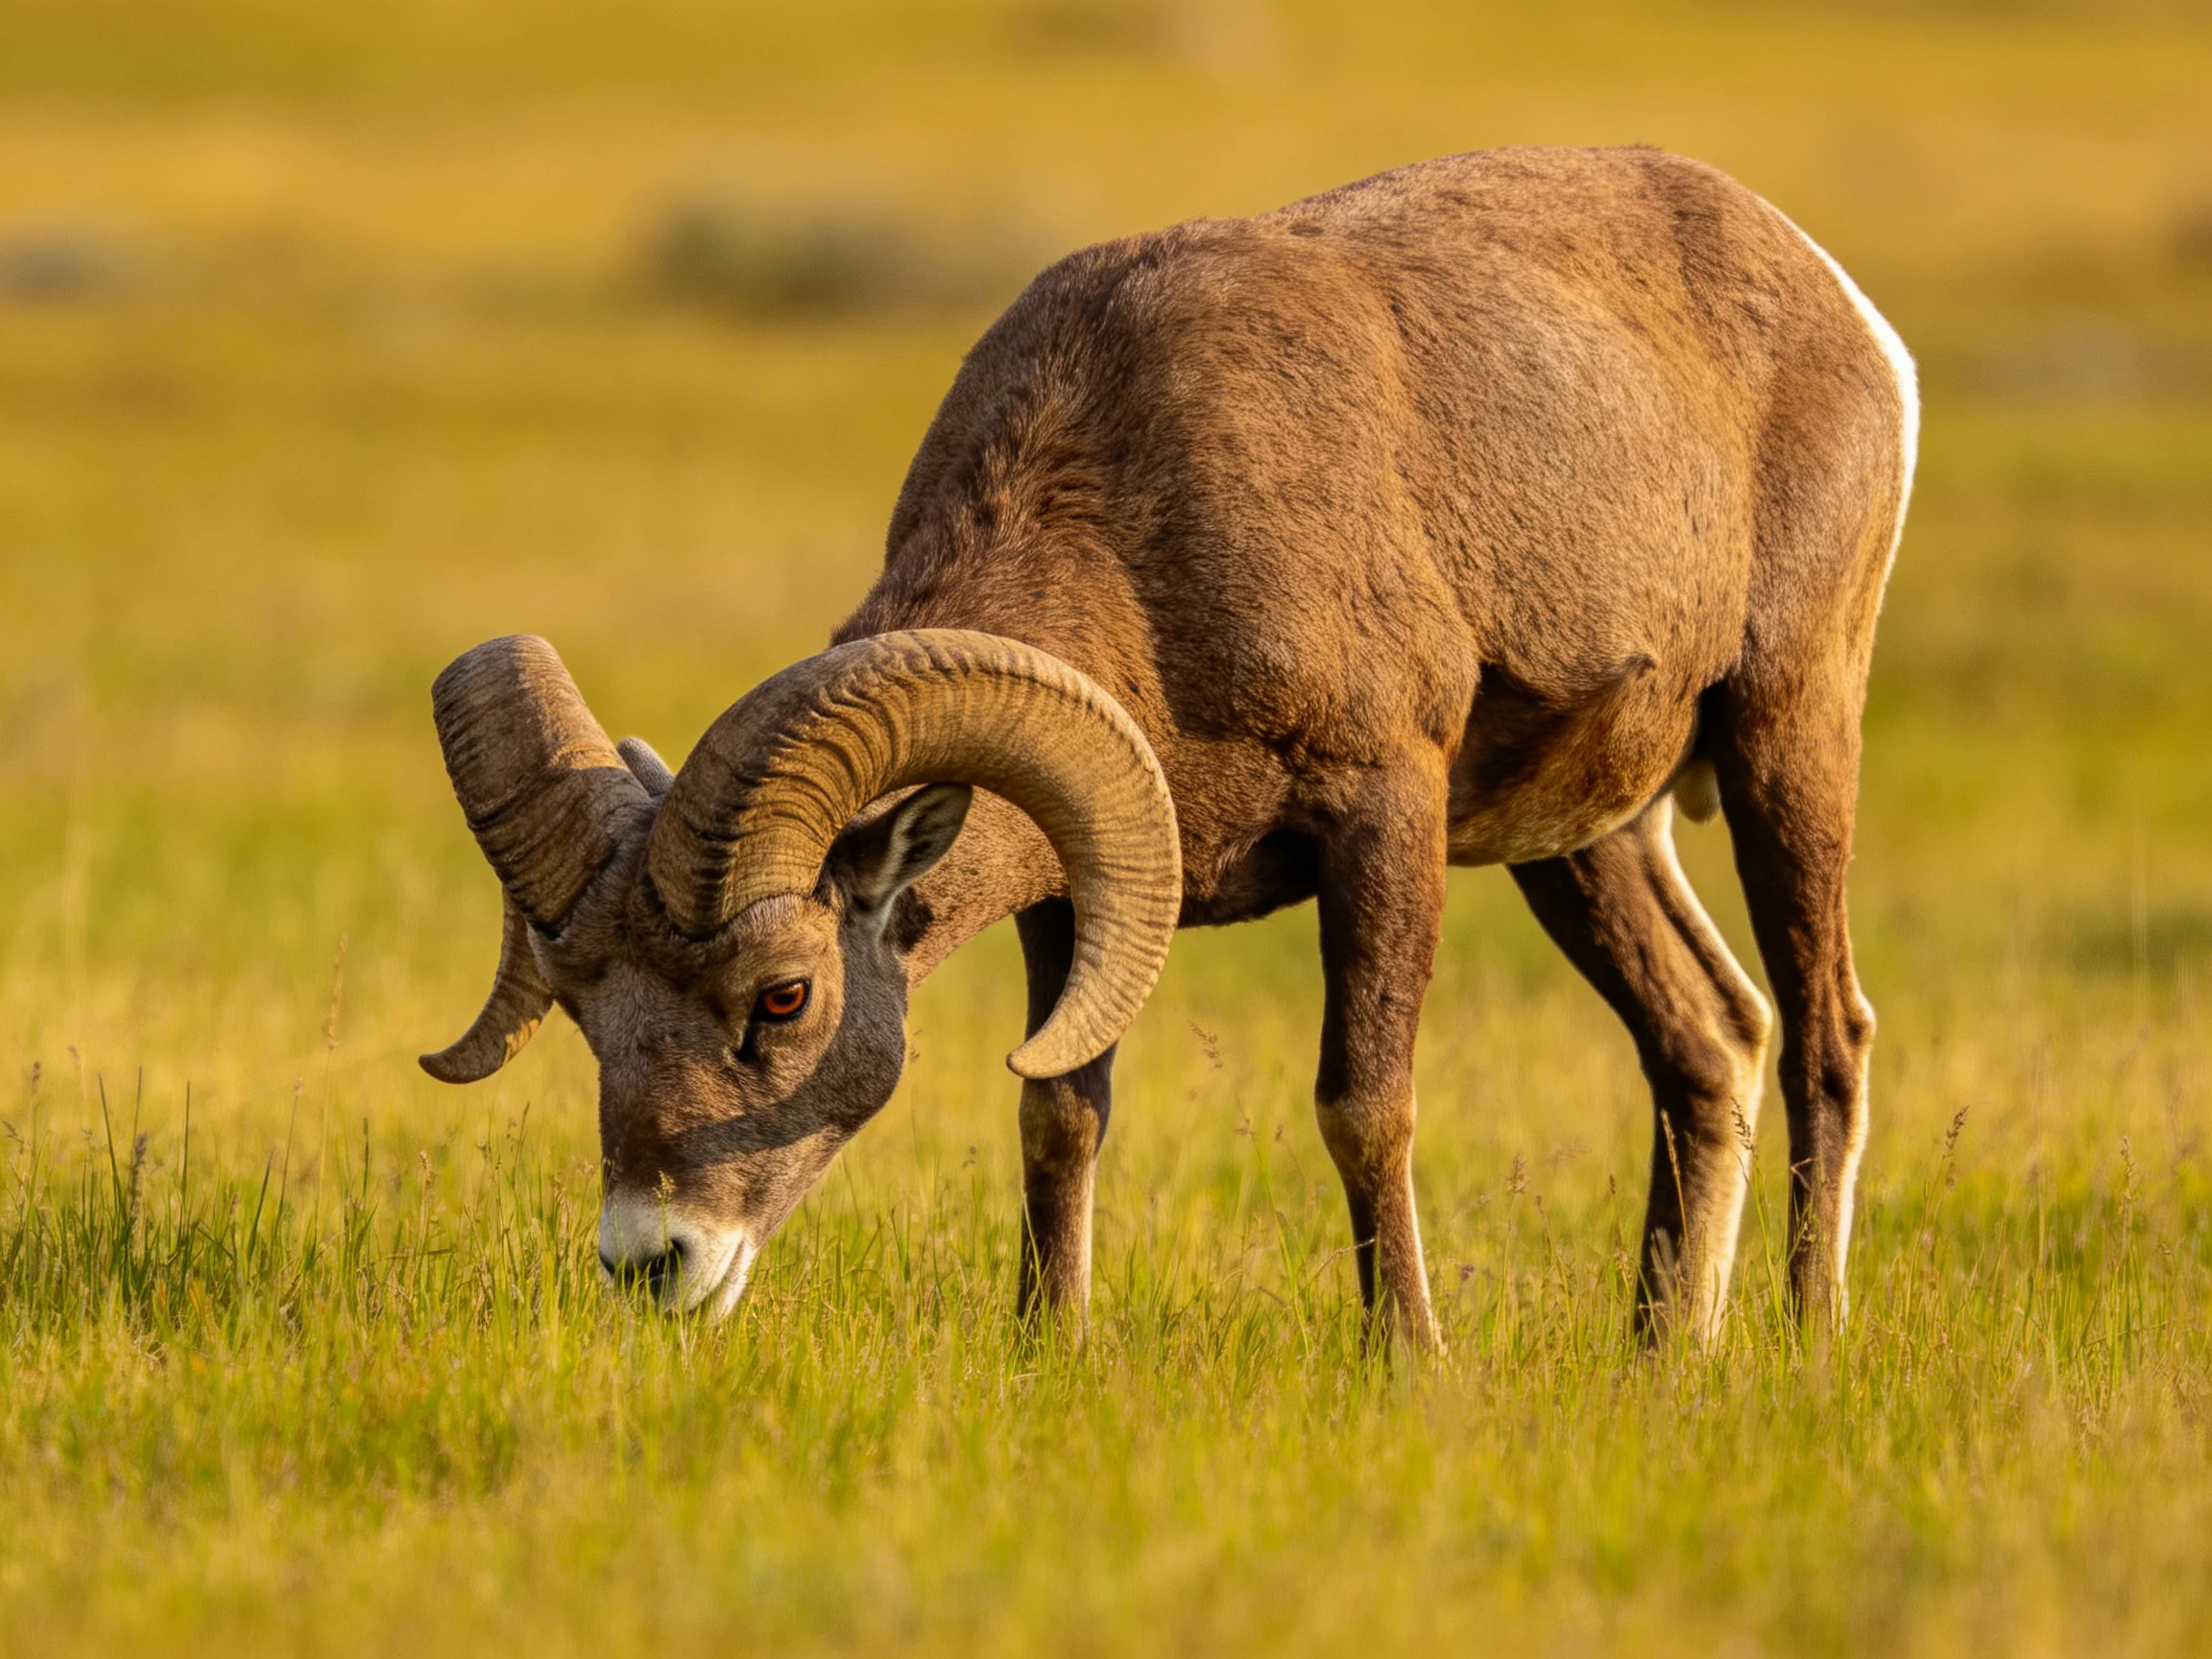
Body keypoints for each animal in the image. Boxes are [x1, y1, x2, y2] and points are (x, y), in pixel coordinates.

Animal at [424, 148, 1915, 1348]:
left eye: (783, 998)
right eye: (582, 1008)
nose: (652, 1264)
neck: (1143, 534)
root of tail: (1848, 312)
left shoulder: (1384, 813)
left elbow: (1364, 1105)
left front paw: (1409, 1363)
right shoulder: (1081, 889)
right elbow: (1059, 1116)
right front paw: (1051, 1348)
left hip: (1789, 731)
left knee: (1824, 1036)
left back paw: (1807, 1340)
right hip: (1588, 843)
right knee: (1709, 1042)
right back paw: (1664, 1352)